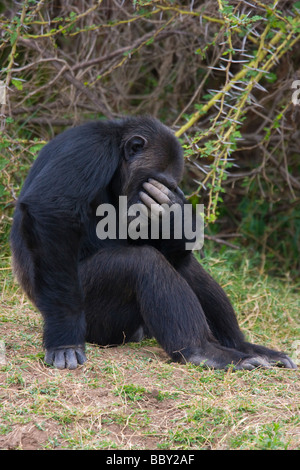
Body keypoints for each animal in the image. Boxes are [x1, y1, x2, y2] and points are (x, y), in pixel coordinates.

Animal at [10, 115, 296, 370]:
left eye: (166, 186)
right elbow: (53, 213)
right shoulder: (89, 149)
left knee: (183, 265)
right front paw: (64, 337)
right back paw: (203, 351)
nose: (164, 195)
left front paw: (175, 217)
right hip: (98, 322)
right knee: (143, 263)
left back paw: (243, 347)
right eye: (153, 181)